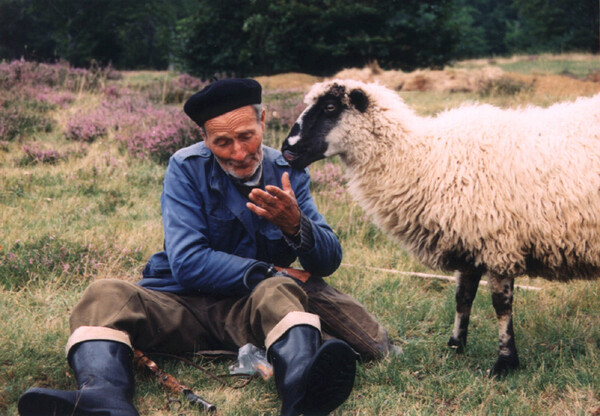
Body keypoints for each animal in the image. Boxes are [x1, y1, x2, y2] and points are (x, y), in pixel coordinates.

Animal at [282, 79, 600, 376]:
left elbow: (500, 306)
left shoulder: (499, 243)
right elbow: (463, 298)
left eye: (330, 107)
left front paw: (505, 362)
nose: (287, 149)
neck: (428, 160)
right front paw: (455, 347)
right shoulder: (470, 242)